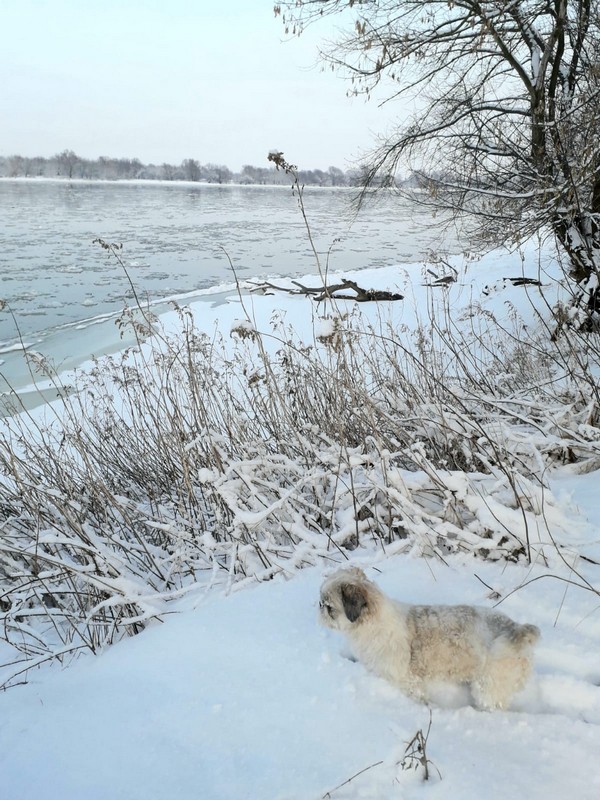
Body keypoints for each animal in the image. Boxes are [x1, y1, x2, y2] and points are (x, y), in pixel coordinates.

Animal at [322, 564, 540, 708]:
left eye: (329, 607)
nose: (319, 605)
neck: (373, 623)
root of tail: (516, 627)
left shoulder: (405, 679)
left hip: (488, 687)